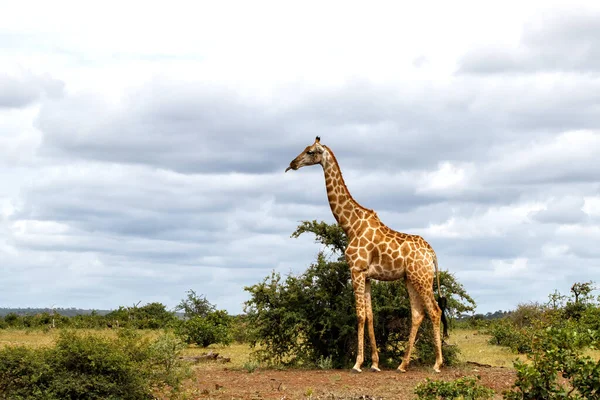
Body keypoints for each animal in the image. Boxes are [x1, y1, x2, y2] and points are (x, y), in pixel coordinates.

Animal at [284, 137, 446, 372]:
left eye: (310, 151)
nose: (292, 164)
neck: (351, 225)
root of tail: (431, 253)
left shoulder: (356, 270)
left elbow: (360, 315)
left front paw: (358, 363)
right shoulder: (367, 275)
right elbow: (370, 316)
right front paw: (375, 363)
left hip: (423, 278)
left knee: (434, 311)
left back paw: (437, 363)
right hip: (410, 278)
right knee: (417, 313)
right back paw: (402, 364)